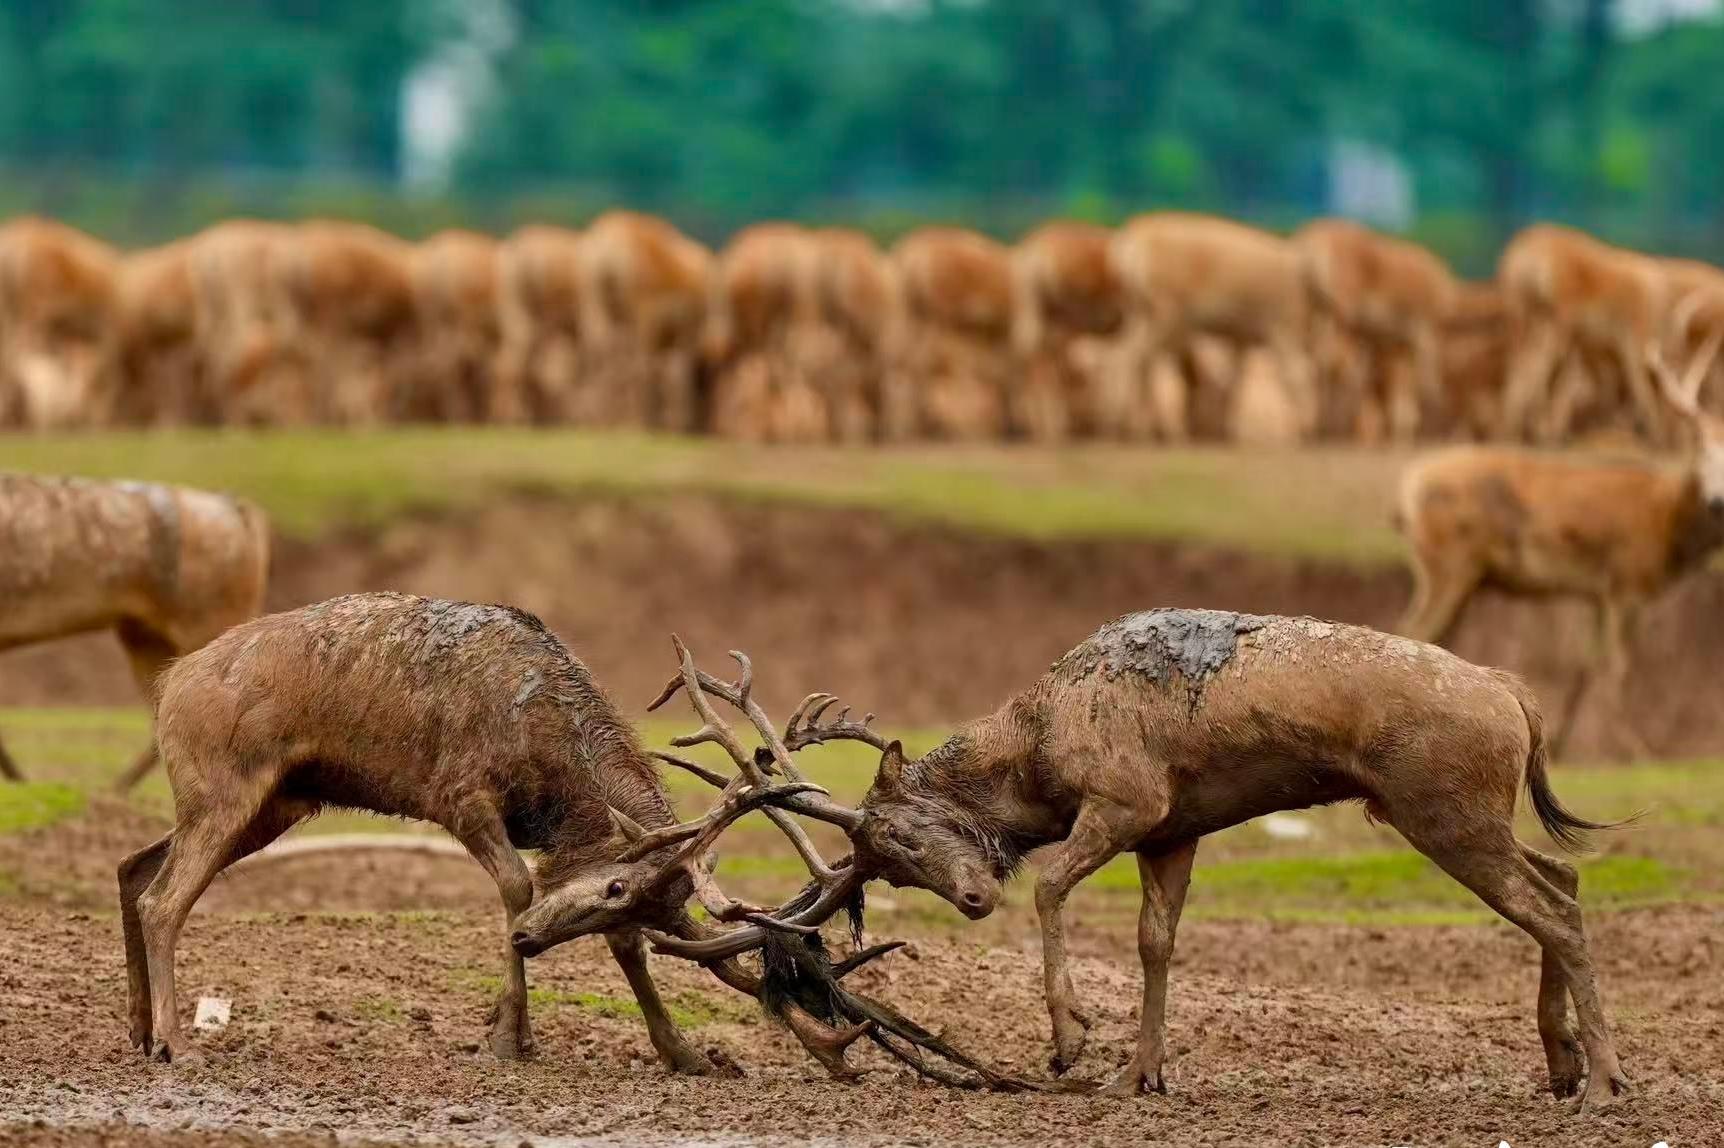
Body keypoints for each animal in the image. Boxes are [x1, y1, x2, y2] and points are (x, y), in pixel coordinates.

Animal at [125, 592, 918, 1078]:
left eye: (631, 901)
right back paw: (174, 1042)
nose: (532, 938)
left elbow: (622, 951)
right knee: (165, 899)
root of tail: (168, 684)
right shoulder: (458, 794)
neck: (551, 774)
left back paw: (139, 1028)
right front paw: (507, 1037)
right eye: (617, 884)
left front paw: (686, 1053)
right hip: (228, 786)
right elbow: (512, 886)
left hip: (274, 803)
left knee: (134, 868)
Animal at [777, 610, 1631, 1111]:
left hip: (1444, 812)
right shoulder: (1171, 832)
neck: (1038, 755)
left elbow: (1050, 886)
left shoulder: (1127, 800)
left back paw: (1603, 1082)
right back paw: (1565, 1066)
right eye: (887, 867)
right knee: (1564, 876)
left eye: (901, 836)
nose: (973, 899)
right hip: (1469, 816)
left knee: (1553, 907)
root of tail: (1516, 698)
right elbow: (1156, 940)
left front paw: (1071, 1040)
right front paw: (1141, 1073)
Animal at [1396, 332, 1724, 760]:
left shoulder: (1599, 593)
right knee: (1412, 629)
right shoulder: (1626, 582)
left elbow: (1585, 666)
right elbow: (1616, 668)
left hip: (1460, 576)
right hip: (1446, 566)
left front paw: (1567, 743)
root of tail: (1405, 493)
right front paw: (1633, 748)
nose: (1717, 501)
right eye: (1703, 452)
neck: (1665, 523)